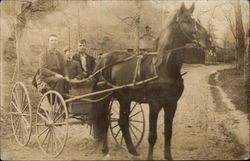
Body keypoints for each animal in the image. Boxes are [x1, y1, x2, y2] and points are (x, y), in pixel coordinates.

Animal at [92, 2, 211, 160]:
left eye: (197, 20)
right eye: (187, 20)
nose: (208, 40)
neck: (163, 68)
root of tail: (103, 58)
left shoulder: (171, 104)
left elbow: (168, 132)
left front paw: (168, 156)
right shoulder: (155, 104)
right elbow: (152, 135)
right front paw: (150, 157)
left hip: (124, 98)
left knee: (122, 122)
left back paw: (132, 150)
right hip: (104, 97)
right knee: (105, 121)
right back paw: (105, 151)